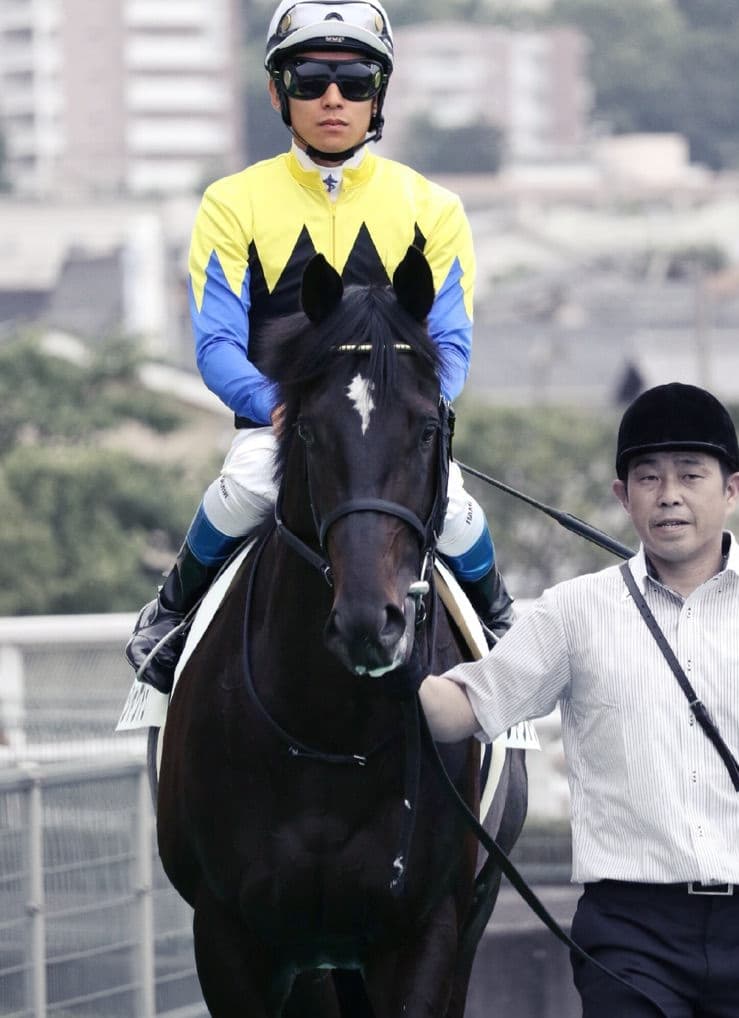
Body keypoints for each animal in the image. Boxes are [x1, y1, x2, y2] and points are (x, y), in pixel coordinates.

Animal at [154, 246, 528, 1018]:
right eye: (307, 430)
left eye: (426, 428)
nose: (367, 621)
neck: (330, 733)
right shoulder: (231, 937)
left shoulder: (424, 932)